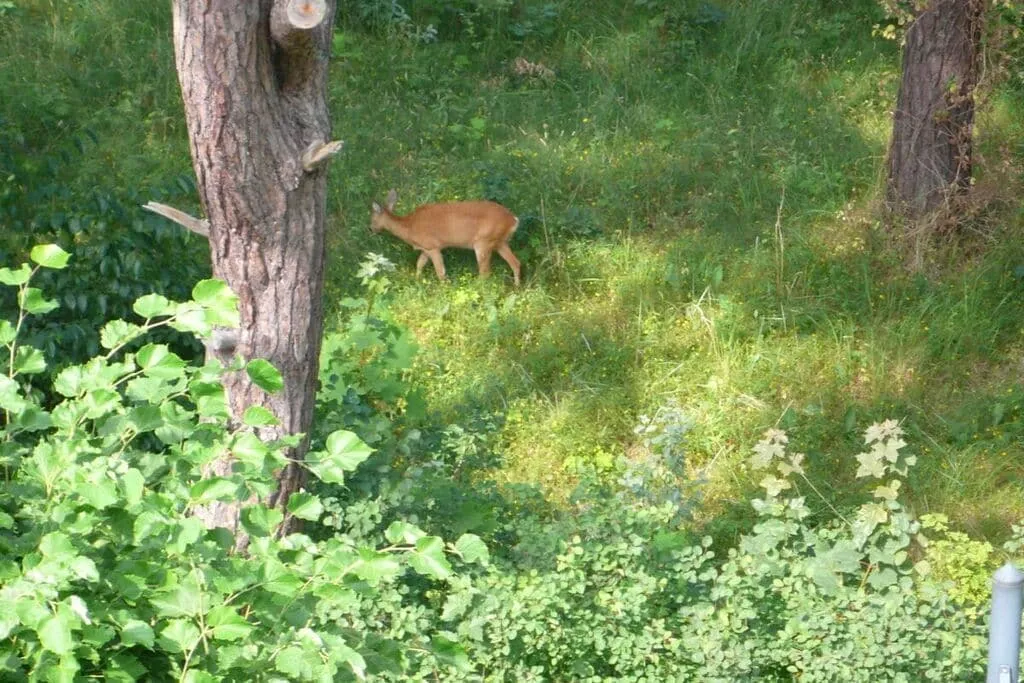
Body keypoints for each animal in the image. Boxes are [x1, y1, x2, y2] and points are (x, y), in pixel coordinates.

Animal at [370, 187, 520, 286]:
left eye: (372, 219)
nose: (370, 229)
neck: (409, 226)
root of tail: (513, 220)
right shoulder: (425, 248)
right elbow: (419, 264)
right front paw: (417, 281)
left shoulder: (433, 246)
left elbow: (440, 272)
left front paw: (444, 289)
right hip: (500, 242)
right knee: (515, 263)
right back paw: (517, 287)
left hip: (483, 241)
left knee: (485, 272)